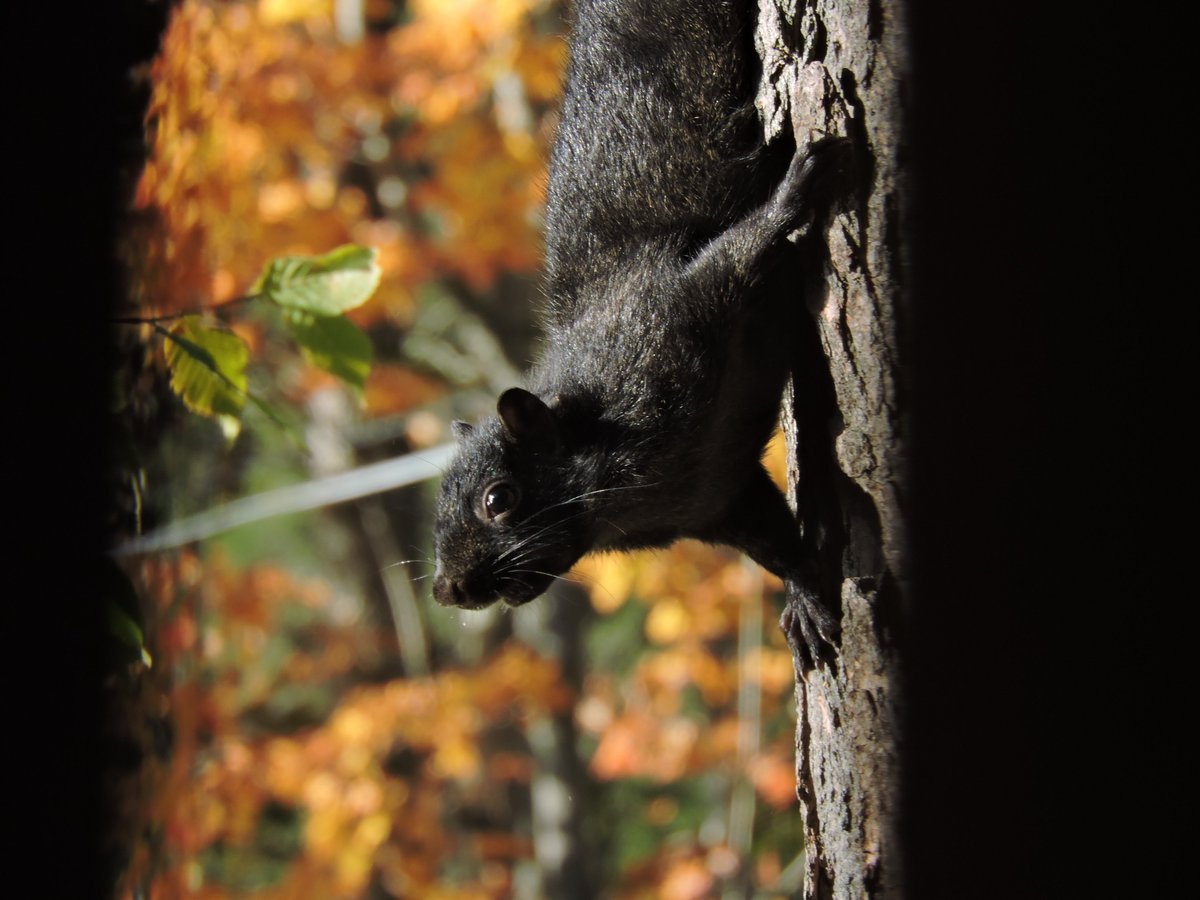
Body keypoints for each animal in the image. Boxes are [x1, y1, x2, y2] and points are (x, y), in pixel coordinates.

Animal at [431, 0, 849, 666]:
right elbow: (777, 545)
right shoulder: (719, 495)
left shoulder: (672, 311)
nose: (447, 590)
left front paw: (794, 190)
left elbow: (739, 249)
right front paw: (805, 598)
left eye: (499, 499)